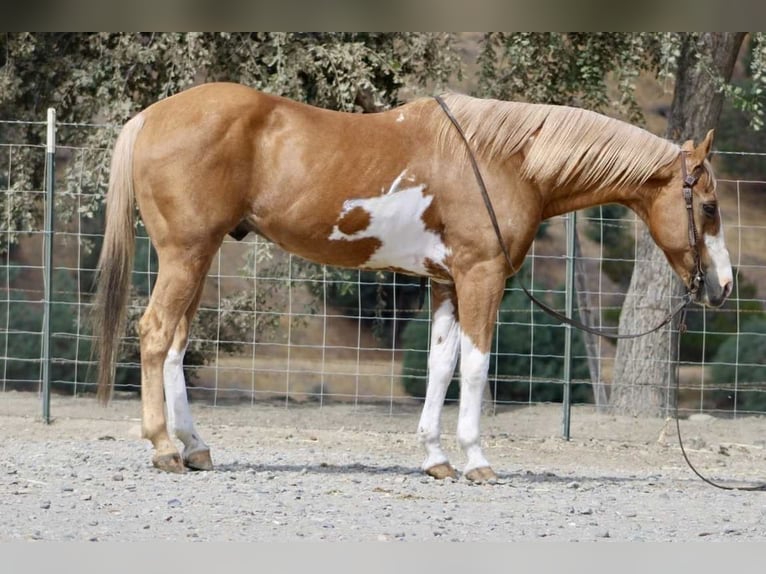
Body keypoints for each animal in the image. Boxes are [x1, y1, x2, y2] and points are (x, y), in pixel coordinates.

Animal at [93, 82, 733, 482]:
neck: (503, 160)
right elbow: (475, 366)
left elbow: (441, 366)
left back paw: (195, 447)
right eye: (708, 207)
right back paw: (164, 448)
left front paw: (435, 458)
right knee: (155, 334)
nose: (724, 286)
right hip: (186, 255)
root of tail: (149, 117)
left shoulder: (446, 282)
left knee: (175, 345)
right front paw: (476, 460)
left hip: (196, 258)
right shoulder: (480, 276)